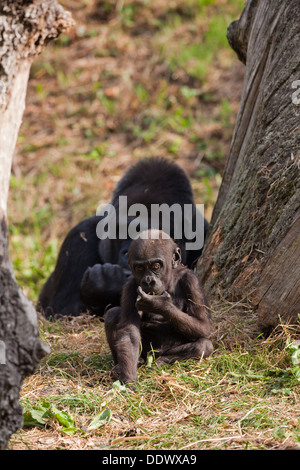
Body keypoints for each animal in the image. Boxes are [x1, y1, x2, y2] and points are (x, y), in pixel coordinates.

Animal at [38, 159, 207, 320]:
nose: (128, 254)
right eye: (123, 230)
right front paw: (105, 284)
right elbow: (61, 313)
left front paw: (106, 284)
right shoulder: (79, 237)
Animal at [105, 229, 213, 384]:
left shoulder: (191, 281)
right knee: (112, 314)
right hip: (145, 353)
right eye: (140, 268)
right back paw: (122, 365)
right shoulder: (130, 286)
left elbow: (203, 325)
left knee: (204, 345)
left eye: (156, 266)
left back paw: (163, 361)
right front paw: (128, 378)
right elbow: (129, 331)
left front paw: (159, 304)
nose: (148, 281)